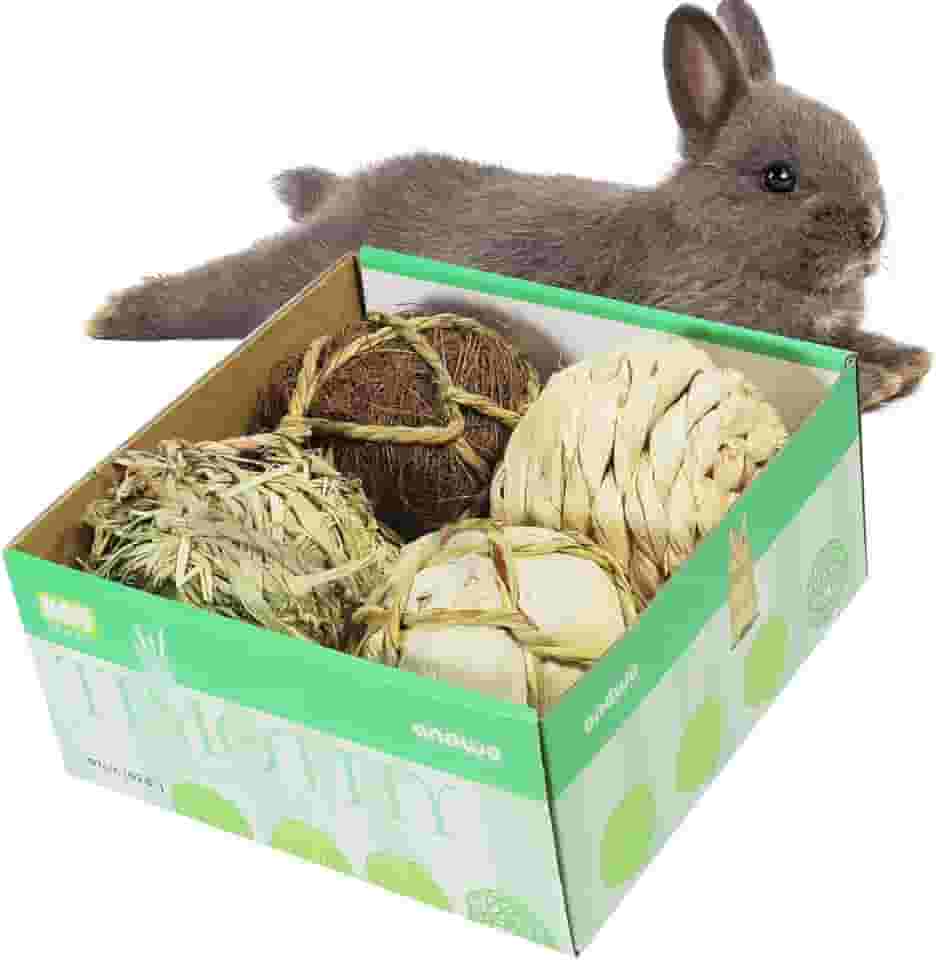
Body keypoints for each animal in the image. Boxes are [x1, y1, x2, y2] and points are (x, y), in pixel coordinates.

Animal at [87, 0, 930, 412]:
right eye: (779, 177)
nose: (874, 227)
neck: (709, 237)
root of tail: (337, 197)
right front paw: (884, 379)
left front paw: (908, 360)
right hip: (277, 277)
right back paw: (114, 315)